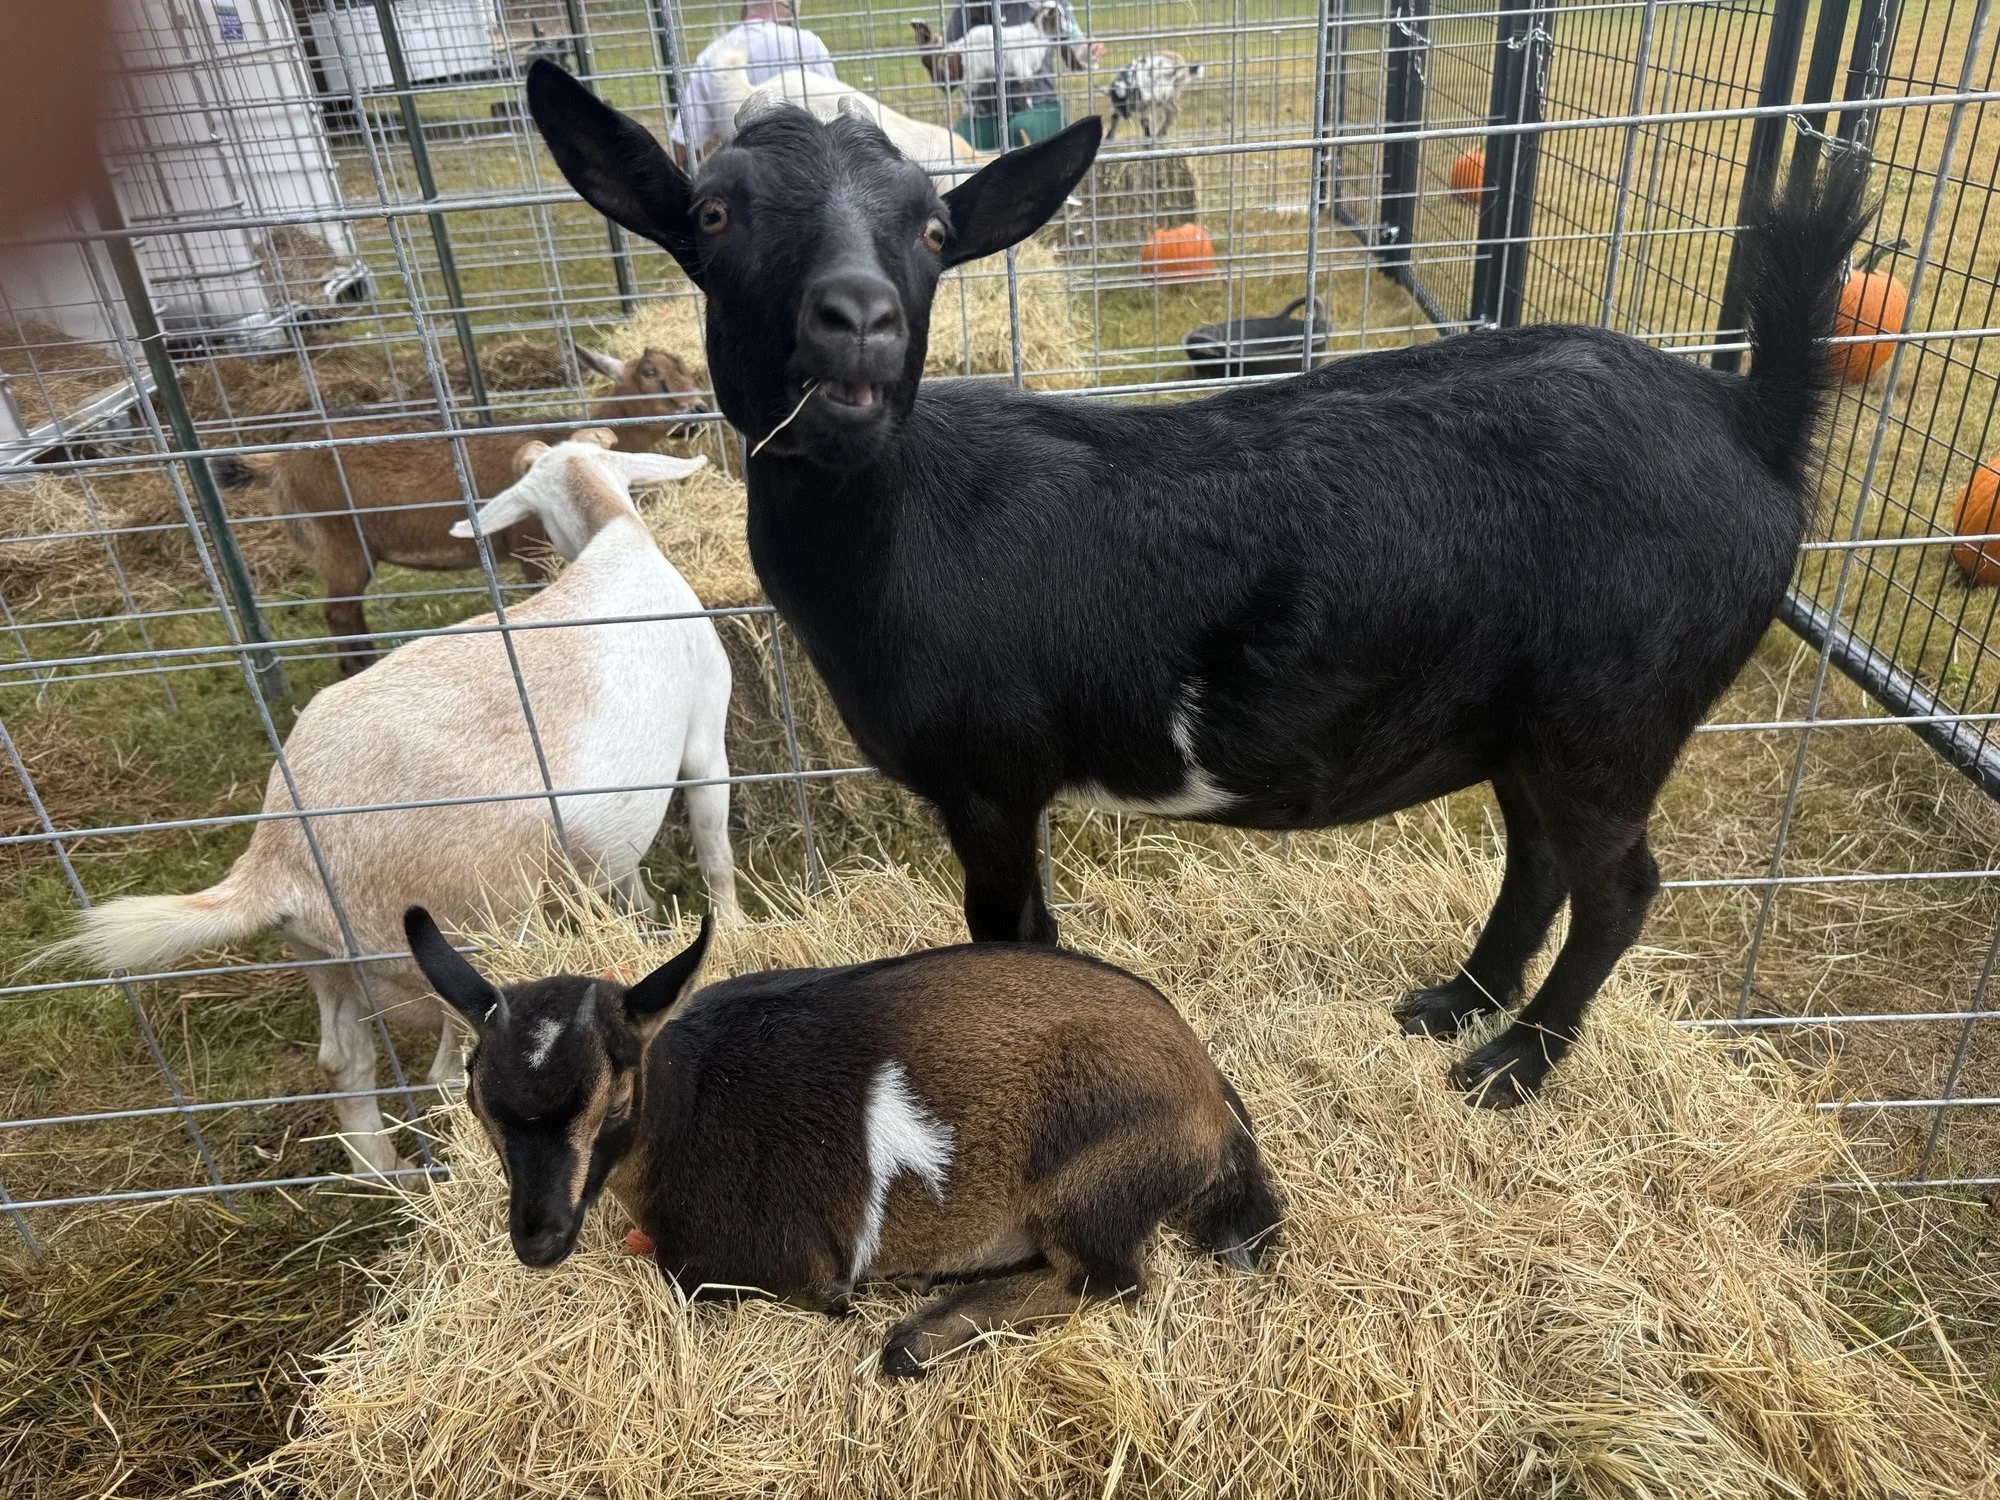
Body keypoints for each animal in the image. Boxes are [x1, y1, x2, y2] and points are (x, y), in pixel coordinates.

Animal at [48, 435, 739, 1173]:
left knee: (341, 1060)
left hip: (327, 964)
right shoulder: (705, 739)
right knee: (443, 1078)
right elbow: (714, 848)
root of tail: (278, 861)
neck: (615, 532)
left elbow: (627, 876)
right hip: (466, 950)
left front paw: (643, 924)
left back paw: (388, 1175)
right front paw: (730, 927)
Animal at [258, 344, 707, 676]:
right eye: (649, 373)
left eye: (687, 370)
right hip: (338, 539)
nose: (698, 411)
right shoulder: (532, 548)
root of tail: (279, 464)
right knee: (338, 612)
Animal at [404, 906, 1281, 1377]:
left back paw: (920, 1336)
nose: (539, 1237)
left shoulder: (787, 1267)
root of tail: (1208, 1091)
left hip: (1090, 1181)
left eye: (614, 1091)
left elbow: (701, 1282)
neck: (690, 1106)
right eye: (476, 1098)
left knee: (1111, 1282)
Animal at [527, 62, 1871, 1106]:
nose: (854, 319)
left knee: (1618, 888)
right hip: (1527, 716)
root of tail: (1749, 418)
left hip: (1616, 709)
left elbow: (1012, 938)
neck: (902, 523)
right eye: (712, 211)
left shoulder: (989, 776)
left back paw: (1514, 1064)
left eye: (931, 232)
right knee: (1537, 861)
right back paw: (1453, 1002)